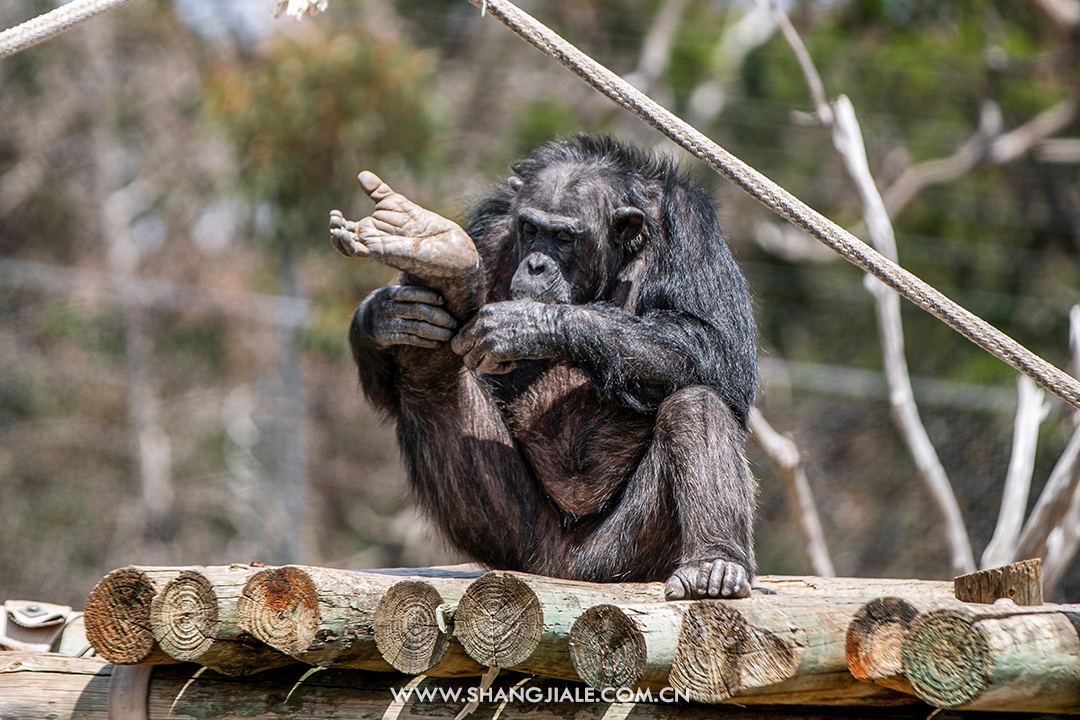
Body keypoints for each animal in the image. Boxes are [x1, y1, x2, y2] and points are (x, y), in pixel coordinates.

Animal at [328, 136, 760, 604]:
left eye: (564, 237)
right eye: (532, 229)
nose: (536, 263)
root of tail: (560, 568)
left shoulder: (691, 227)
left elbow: (717, 346)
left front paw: (528, 325)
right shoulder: (494, 227)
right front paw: (381, 317)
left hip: (623, 556)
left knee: (696, 403)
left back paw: (712, 565)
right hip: (512, 538)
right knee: (429, 377)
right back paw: (439, 257)